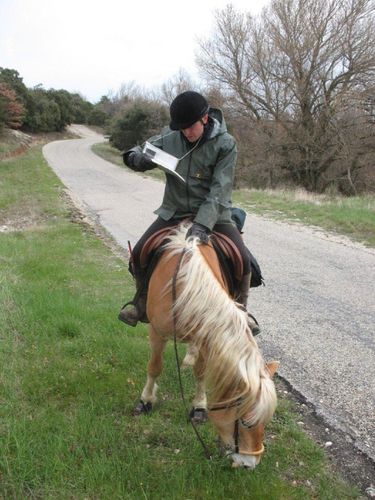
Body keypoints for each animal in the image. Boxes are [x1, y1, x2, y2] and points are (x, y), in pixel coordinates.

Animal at [135, 223, 280, 468]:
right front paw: (146, 400)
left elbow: (201, 373)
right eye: (246, 422)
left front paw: (199, 406)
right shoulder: (157, 332)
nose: (250, 463)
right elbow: (154, 367)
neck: (185, 287)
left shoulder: (204, 338)